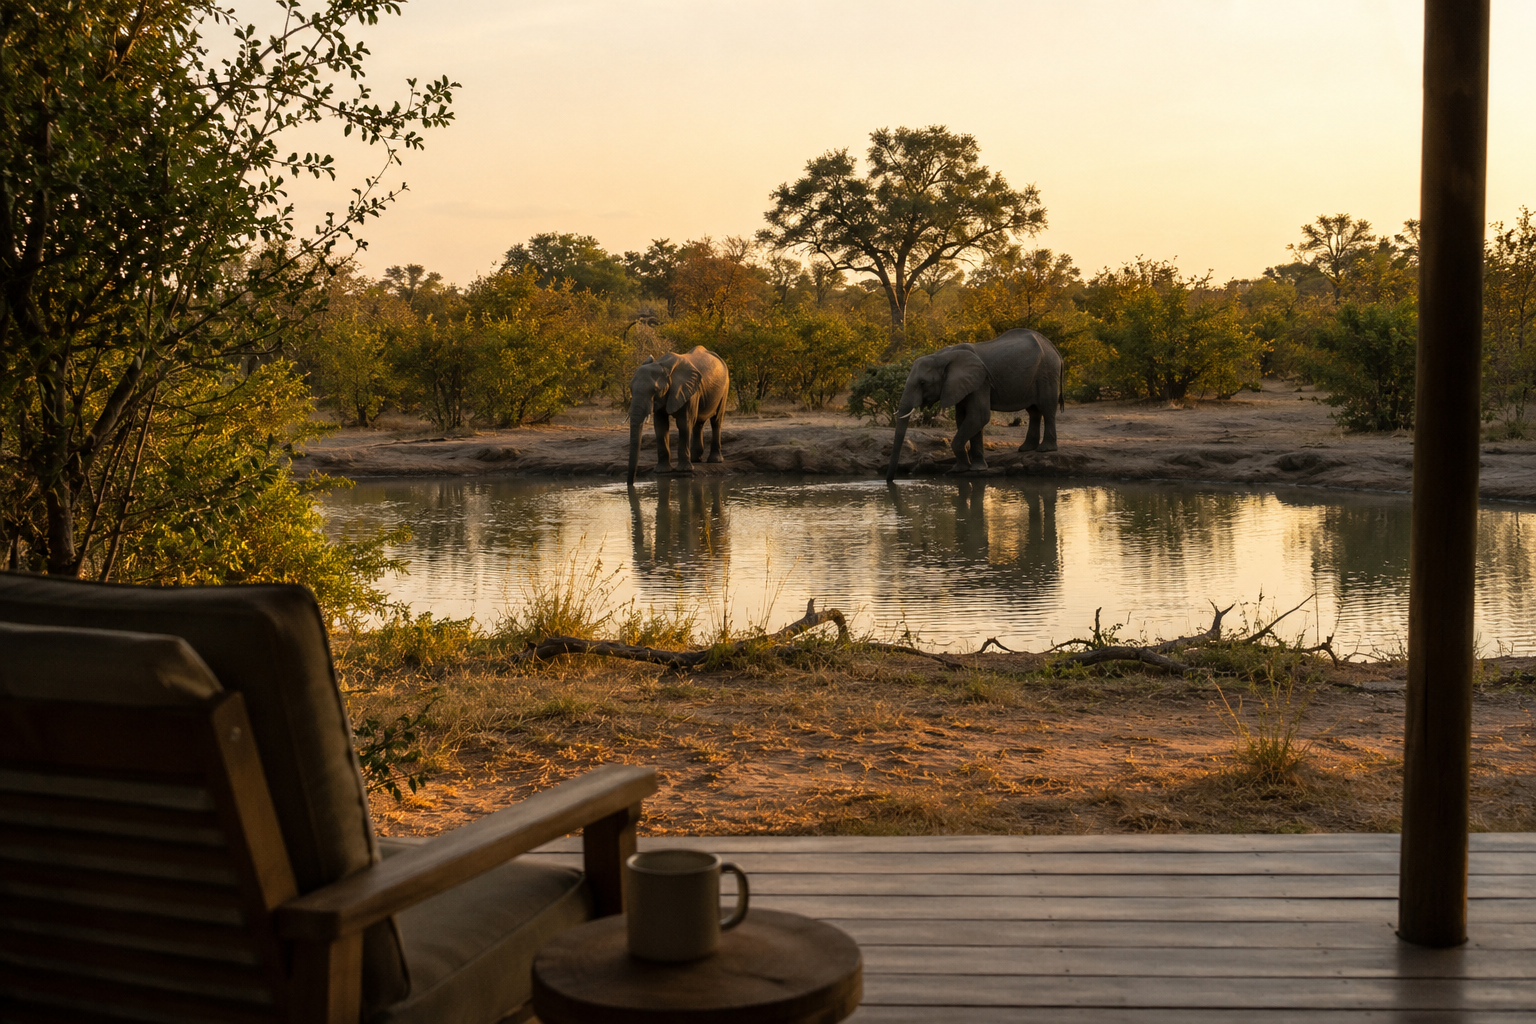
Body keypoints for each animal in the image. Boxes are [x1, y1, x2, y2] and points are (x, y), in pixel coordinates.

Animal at [626, 346, 730, 485]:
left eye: (655, 390)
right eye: (631, 389)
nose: (631, 483)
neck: (664, 366)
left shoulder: (688, 390)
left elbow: (684, 423)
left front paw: (684, 470)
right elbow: (660, 426)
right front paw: (662, 471)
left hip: (724, 387)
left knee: (716, 420)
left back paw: (714, 460)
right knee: (698, 423)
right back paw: (695, 459)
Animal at [885, 328, 1063, 482]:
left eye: (922, 383)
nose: (890, 481)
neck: (942, 356)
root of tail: (1054, 350)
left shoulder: (980, 382)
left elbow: (979, 416)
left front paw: (960, 470)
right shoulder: (961, 384)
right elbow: (965, 418)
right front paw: (972, 469)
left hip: (1047, 372)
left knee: (1047, 408)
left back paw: (1045, 449)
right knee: (1034, 411)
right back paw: (1026, 449)